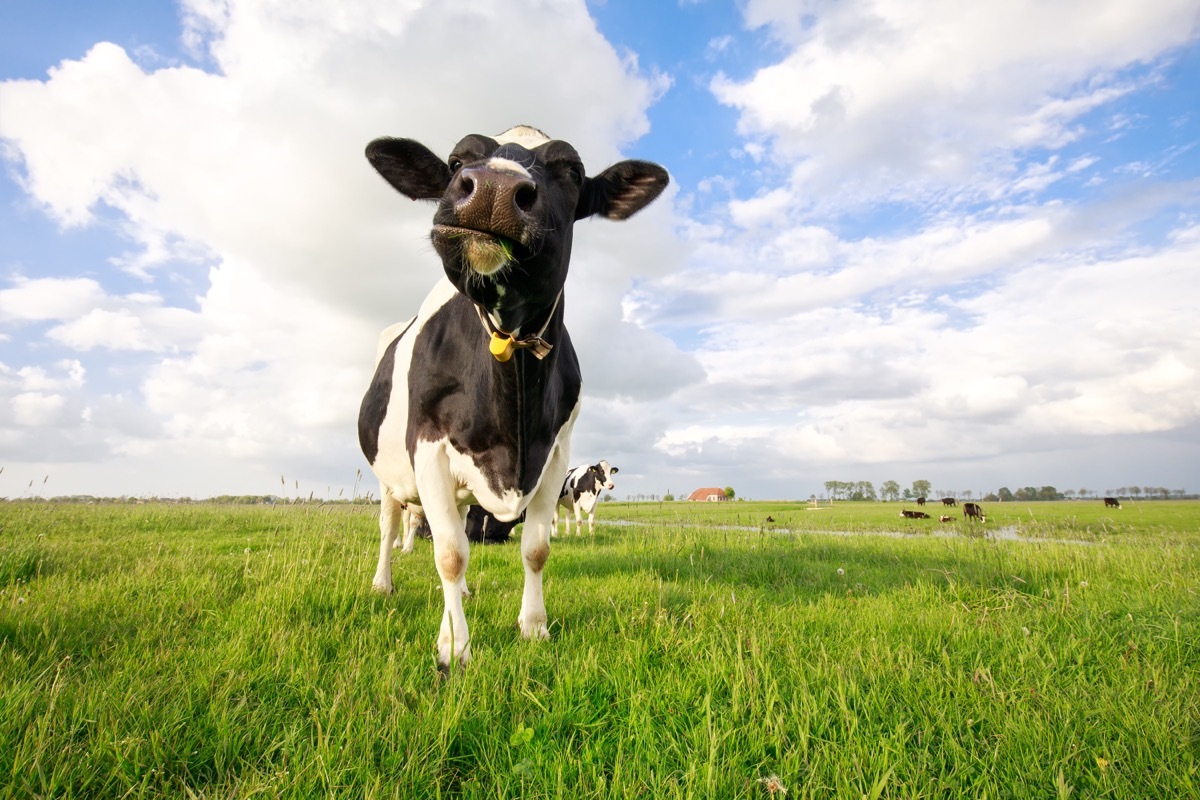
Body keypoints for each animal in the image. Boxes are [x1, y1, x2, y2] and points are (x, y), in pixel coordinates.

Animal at [355, 125, 676, 671]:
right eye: (456, 160)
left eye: (572, 171)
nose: (492, 188)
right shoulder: (428, 447)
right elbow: (448, 554)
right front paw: (455, 647)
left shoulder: (554, 454)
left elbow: (534, 549)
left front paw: (534, 626)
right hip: (388, 473)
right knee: (389, 524)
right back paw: (384, 583)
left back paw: (461, 595)